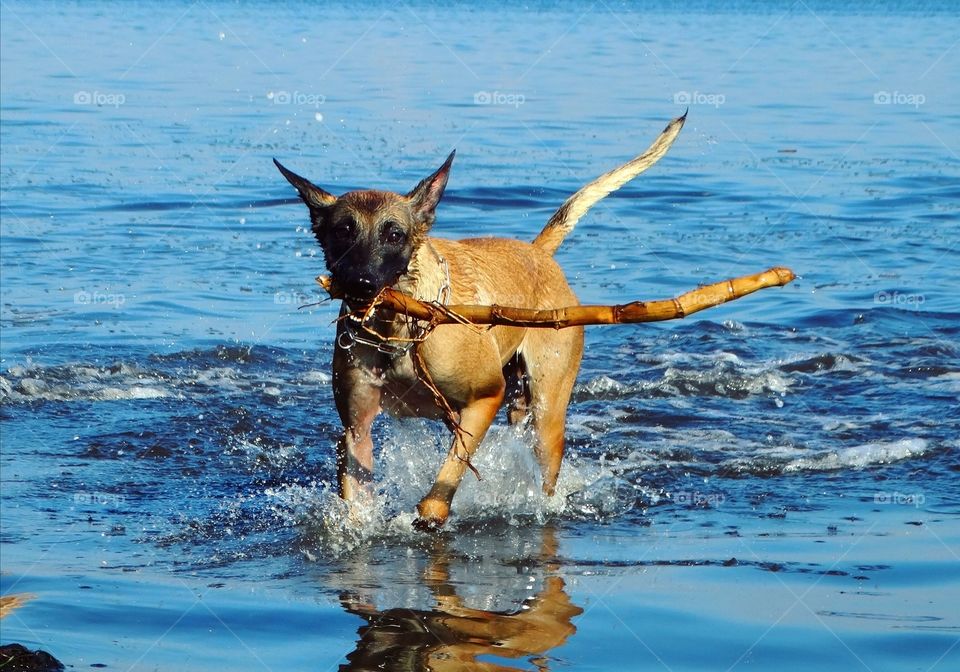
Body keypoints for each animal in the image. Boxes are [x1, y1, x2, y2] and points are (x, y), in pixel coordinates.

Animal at [274, 113, 688, 528]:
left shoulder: (486, 397)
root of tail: (539, 254)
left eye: (394, 234)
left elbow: (452, 470)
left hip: (546, 413)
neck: (398, 329)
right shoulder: (356, 429)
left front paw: (432, 513)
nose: (360, 283)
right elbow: (356, 497)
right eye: (343, 231)